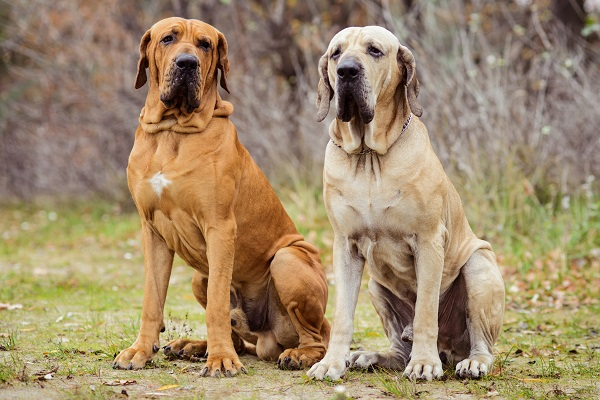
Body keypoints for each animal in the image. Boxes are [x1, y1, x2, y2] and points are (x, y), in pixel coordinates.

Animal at [111, 17, 328, 376]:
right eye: (168, 39)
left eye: (205, 44)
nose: (187, 63)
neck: (172, 131)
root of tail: (266, 338)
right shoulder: (152, 232)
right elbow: (152, 300)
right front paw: (140, 350)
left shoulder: (220, 227)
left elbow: (216, 305)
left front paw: (221, 360)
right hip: (199, 276)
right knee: (239, 335)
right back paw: (193, 346)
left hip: (287, 260)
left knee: (319, 337)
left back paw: (297, 355)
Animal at [308, 26, 504, 382]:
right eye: (335, 53)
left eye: (374, 50)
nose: (346, 71)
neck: (369, 156)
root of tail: (450, 350)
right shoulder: (345, 246)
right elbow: (342, 315)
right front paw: (331, 362)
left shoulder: (428, 242)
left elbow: (425, 311)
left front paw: (424, 363)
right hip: (376, 286)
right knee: (400, 346)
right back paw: (373, 356)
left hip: (479, 266)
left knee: (480, 341)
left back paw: (472, 362)